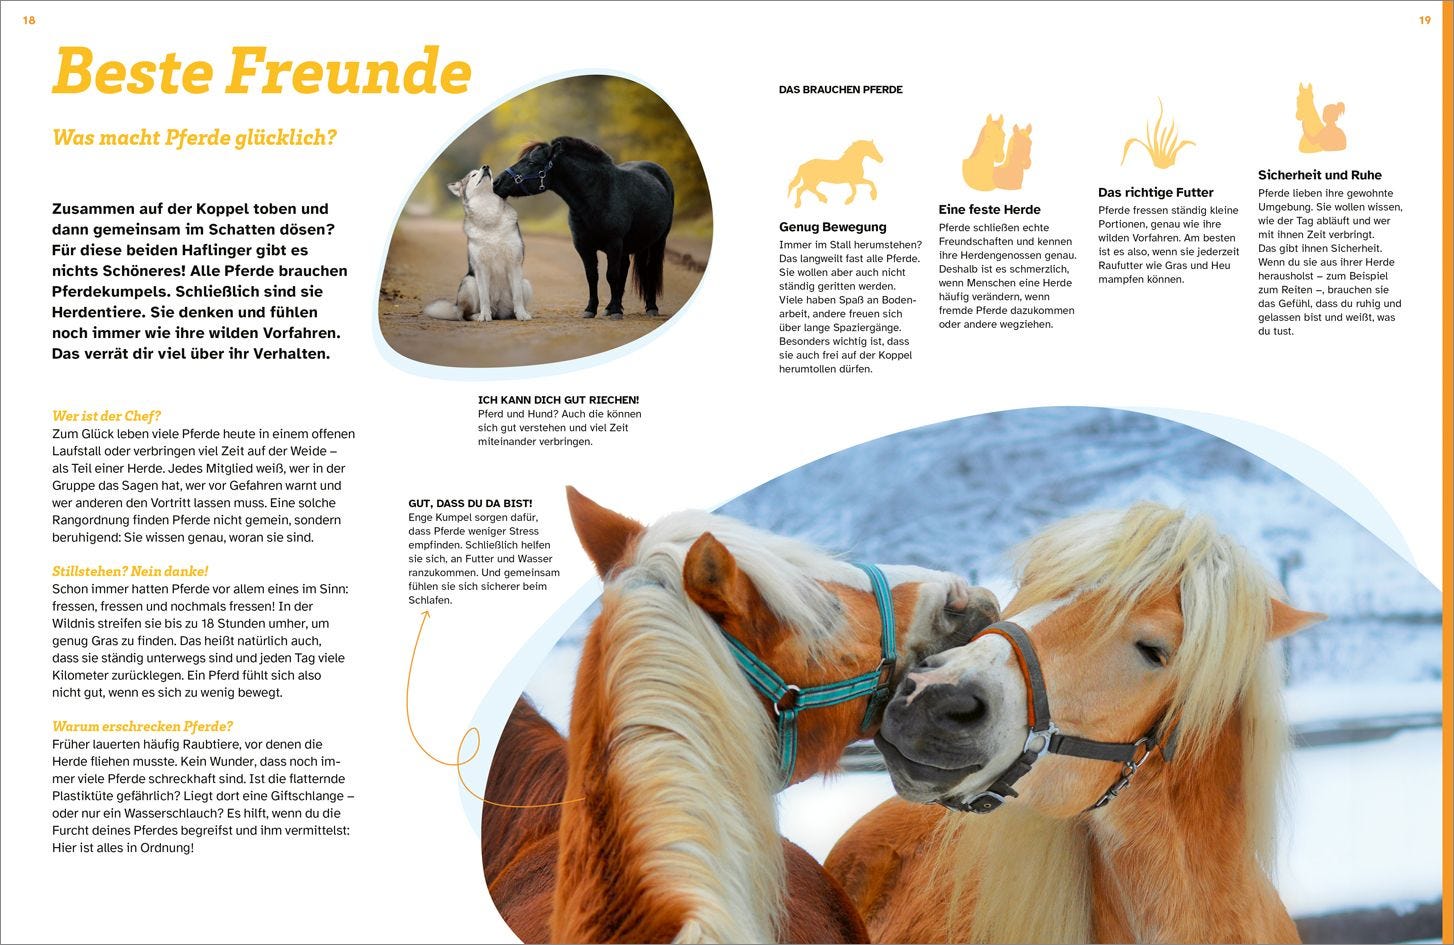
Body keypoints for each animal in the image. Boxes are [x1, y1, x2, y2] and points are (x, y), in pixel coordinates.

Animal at [495, 137, 674, 320]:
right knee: (625, 269)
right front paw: (592, 309)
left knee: (650, 269)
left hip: (658, 241)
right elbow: (592, 276)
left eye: (532, 162)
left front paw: (616, 311)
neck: (598, 194)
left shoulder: (614, 243)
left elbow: (611, 275)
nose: (496, 182)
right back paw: (610, 307)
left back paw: (650, 307)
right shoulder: (584, 246)